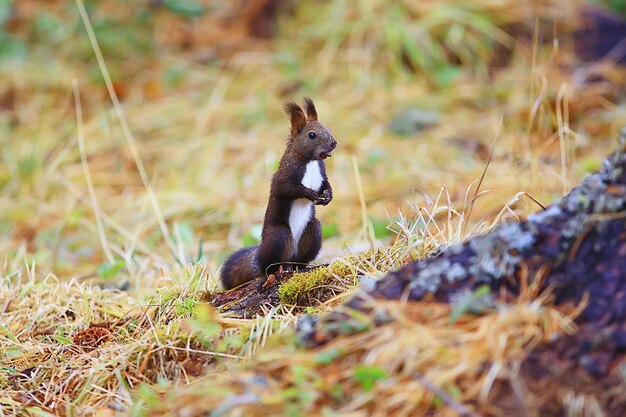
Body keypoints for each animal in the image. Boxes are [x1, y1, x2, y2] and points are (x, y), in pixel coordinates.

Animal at [219, 96, 336, 290]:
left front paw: (328, 196)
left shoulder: (322, 173)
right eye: (312, 135)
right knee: (270, 265)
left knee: (297, 260)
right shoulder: (284, 176)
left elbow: (326, 184)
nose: (334, 143)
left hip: (313, 232)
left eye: (328, 128)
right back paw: (274, 272)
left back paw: (301, 268)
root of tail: (259, 258)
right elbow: (289, 189)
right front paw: (311, 194)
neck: (310, 161)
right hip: (278, 236)